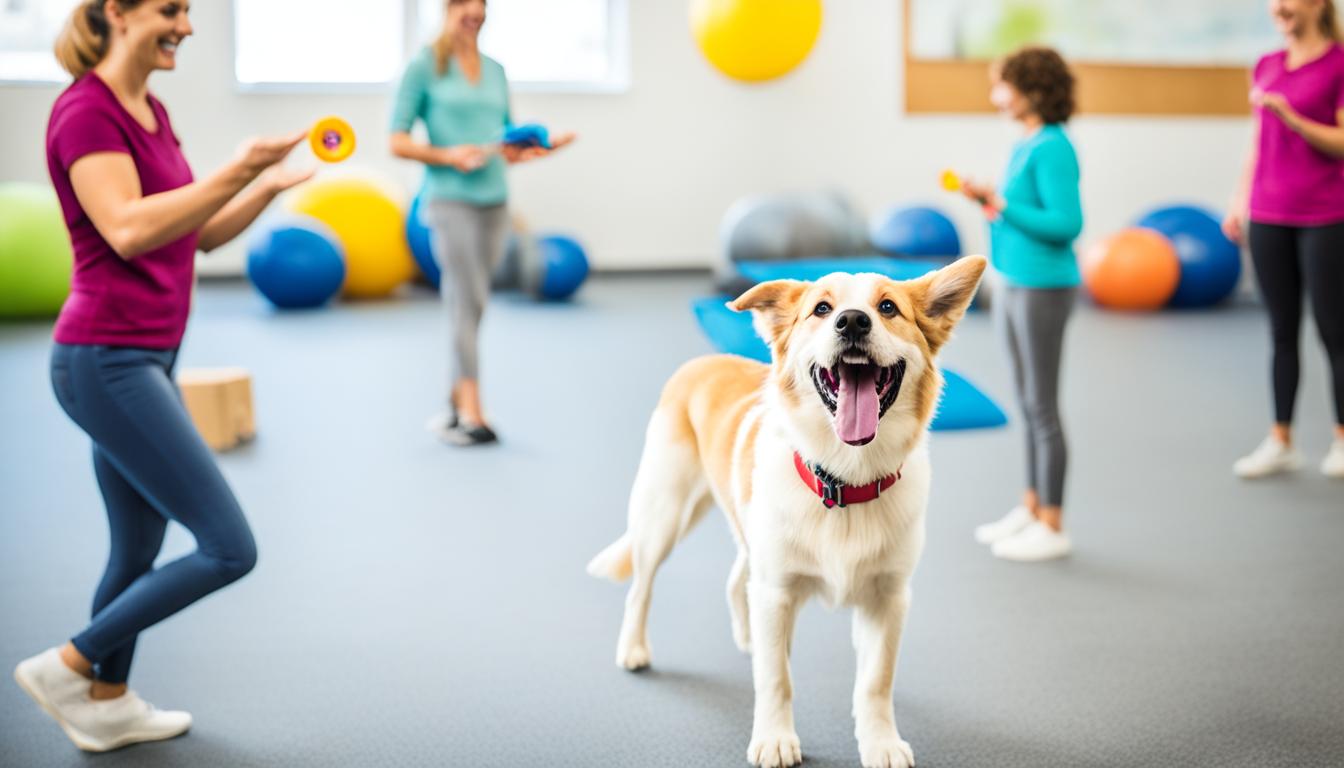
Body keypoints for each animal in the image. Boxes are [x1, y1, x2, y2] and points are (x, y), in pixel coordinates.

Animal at [588, 258, 989, 768]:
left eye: (887, 308)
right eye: (821, 309)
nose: (852, 322)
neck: (845, 481)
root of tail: (702, 361)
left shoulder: (888, 596)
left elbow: (876, 680)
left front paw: (879, 741)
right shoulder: (777, 591)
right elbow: (777, 678)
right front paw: (775, 738)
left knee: (736, 579)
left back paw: (747, 639)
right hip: (665, 513)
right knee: (641, 588)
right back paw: (635, 648)